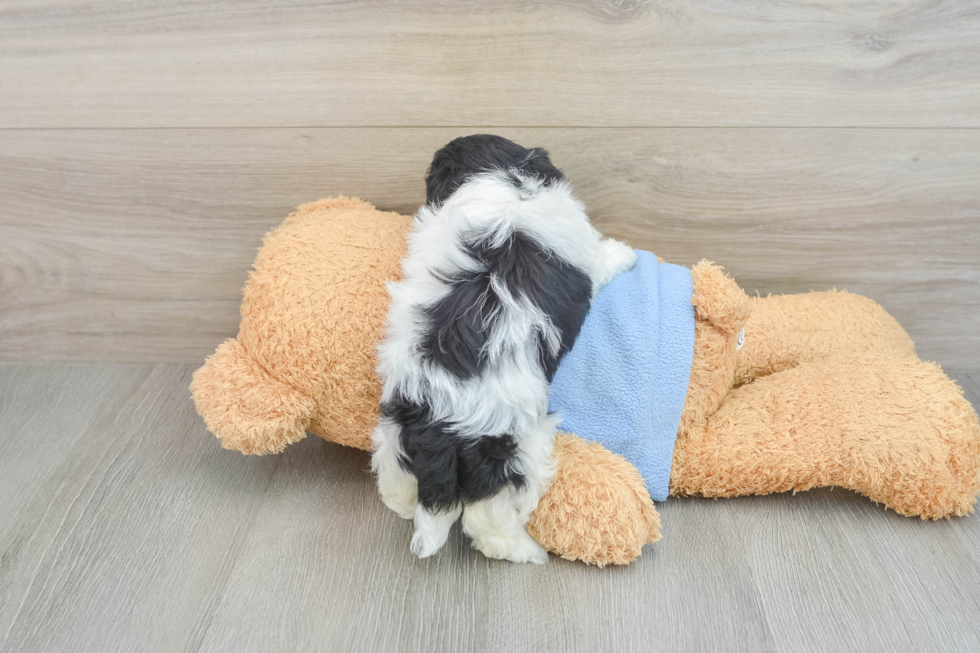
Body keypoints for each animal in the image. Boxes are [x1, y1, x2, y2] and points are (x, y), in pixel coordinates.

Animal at [368, 134, 636, 560]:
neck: (508, 182)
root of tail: (440, 426)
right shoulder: (584, 255)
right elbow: (601, 260)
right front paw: (624, 253)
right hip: (513, 449)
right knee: (487, 519)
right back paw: (524, 549)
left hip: (394, 428)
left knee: (398, 482)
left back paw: (408, 505)